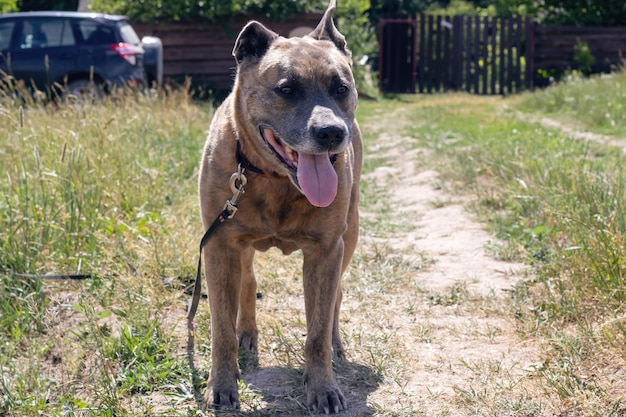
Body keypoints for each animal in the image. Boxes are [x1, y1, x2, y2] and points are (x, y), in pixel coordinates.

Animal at [195, 0, 360, 412]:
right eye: (286, 89)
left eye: (342, 88)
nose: (332, 133)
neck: (275, 179)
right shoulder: (219, 246)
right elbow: (221, 327)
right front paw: (221, 385)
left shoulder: (325, 250)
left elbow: (317, 330)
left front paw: (323, 387)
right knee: (248, 283)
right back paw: (247, 334)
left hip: (350, 234)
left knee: (336, 298)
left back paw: (336, 343)